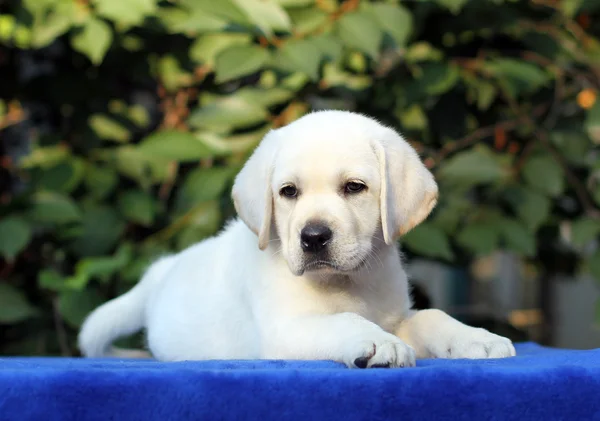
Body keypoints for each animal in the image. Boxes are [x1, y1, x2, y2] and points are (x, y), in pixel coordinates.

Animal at [79, 110, 516, 366]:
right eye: (288, 192)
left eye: (354, 187)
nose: (314, 237)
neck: (348, 281)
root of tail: (160, 272)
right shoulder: (285, 329)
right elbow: (344, 321)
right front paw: (375, 342)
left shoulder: (397, 316)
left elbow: (432, 316)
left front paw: (476, 338)